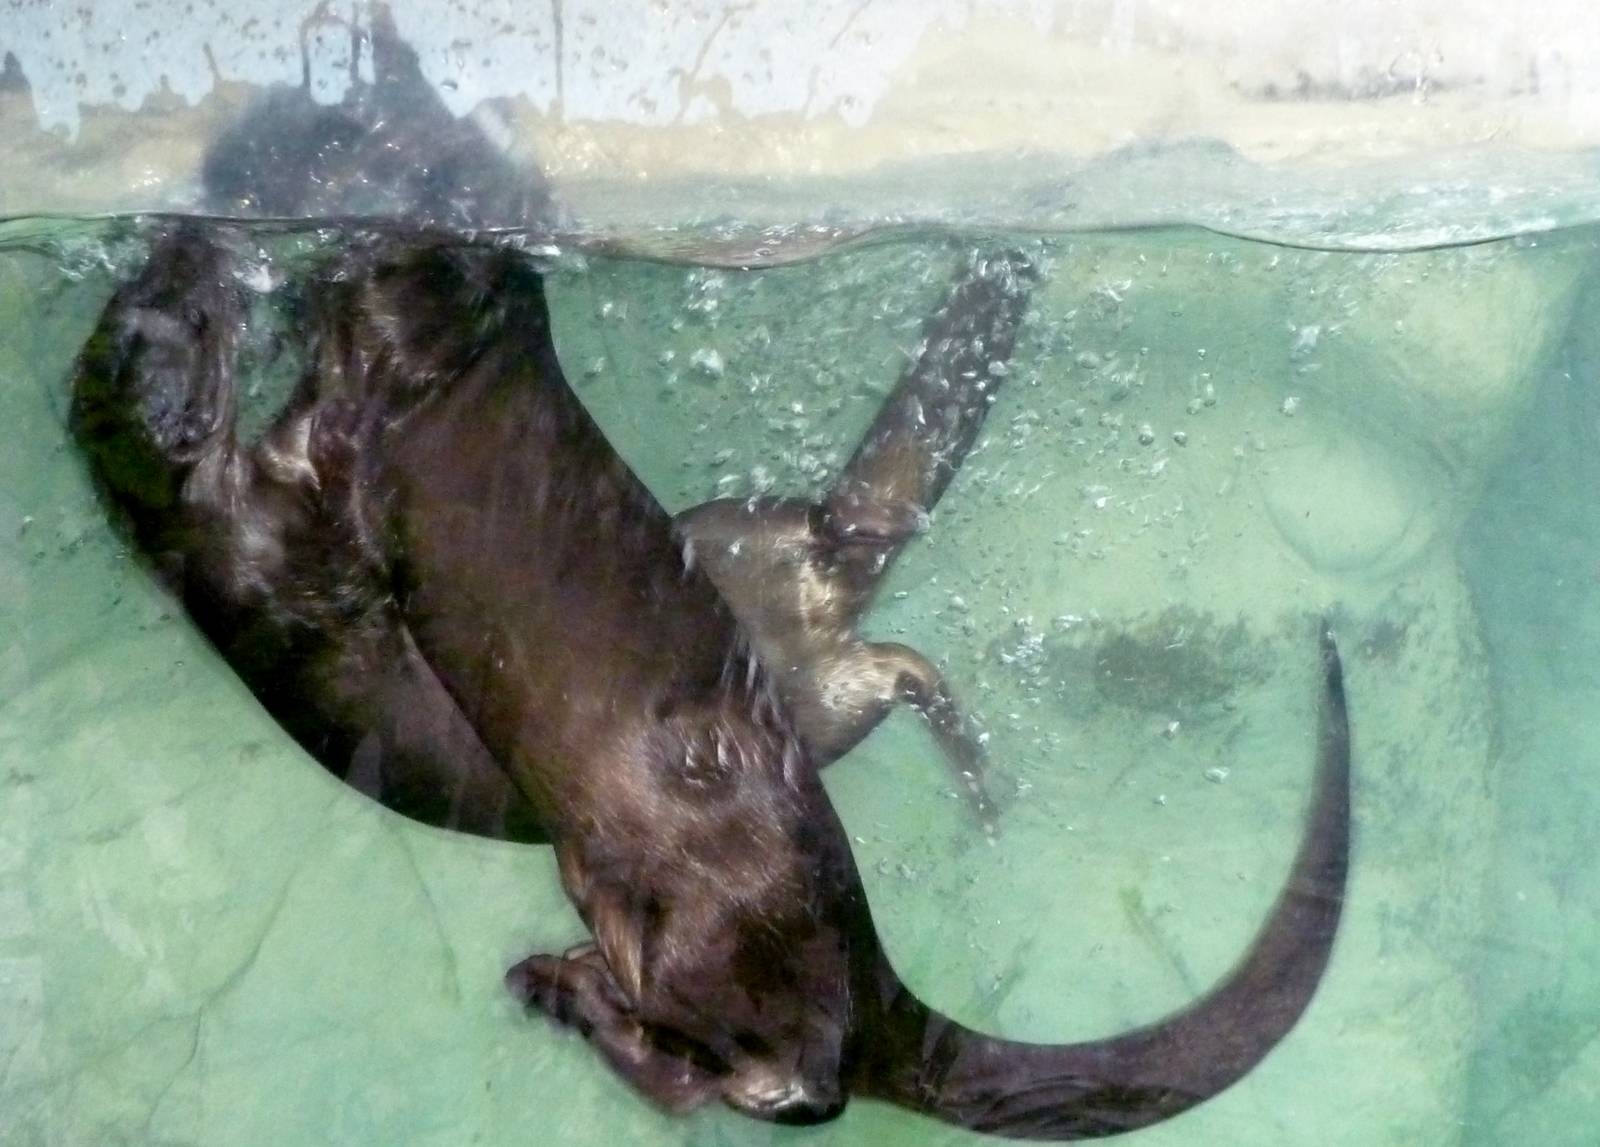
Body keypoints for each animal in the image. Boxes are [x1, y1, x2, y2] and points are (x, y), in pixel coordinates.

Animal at [71, 225, 1350, 1137]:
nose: (186, 239)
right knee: (775, 1076)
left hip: (731, 671)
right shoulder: (292, 507)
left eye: (181, 292)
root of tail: (866, 986)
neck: (206, 532)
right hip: (711, 843)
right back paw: (568, 982)